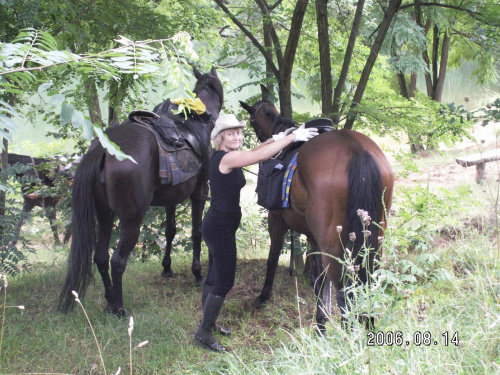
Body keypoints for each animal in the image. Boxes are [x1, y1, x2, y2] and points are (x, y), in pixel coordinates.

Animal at [58, 67, 223, 314]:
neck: (195, 120)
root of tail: (103, 149)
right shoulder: (199, 194)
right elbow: (196, 232)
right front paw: (197, 273)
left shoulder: (171, 198)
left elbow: (170, 231)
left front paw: (167, 268)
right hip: (131, 220)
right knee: (117, 261)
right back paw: (119, 308)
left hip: (104, 215)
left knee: (100, 257)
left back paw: (110, 299)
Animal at [240, 93, 392, 332]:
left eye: (252, 121)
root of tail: (355, 148)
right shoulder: (313, 235)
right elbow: (318, 278)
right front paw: (321, 316)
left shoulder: (276, 221)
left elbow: (272, 259)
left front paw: (263, 296)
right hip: (375, 238)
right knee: (366, 278)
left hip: (334, 244)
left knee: (343, 290)